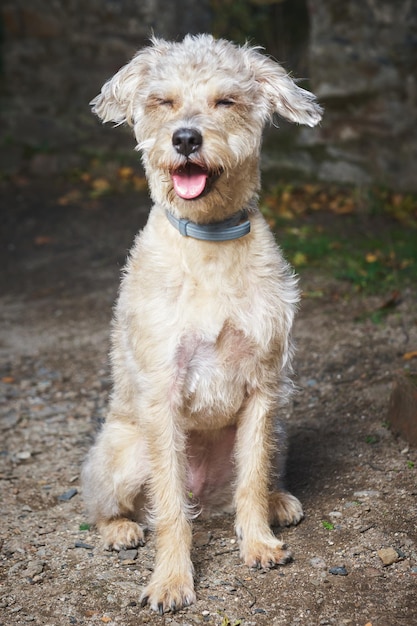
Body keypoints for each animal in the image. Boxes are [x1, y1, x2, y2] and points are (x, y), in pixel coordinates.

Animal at [81, 31, 322, 612]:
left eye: (225, 101)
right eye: (163, 101)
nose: (186, 138)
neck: (209, 243)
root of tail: (206, 499)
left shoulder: (263, 389)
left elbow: (250, 479)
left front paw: (258, 542)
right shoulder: (162, 397)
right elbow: (169, 506)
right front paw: (171, 579)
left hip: (280, 430)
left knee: (243, 489)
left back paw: (276, 502)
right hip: (122, 455)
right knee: (112, 507)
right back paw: (121, 529)